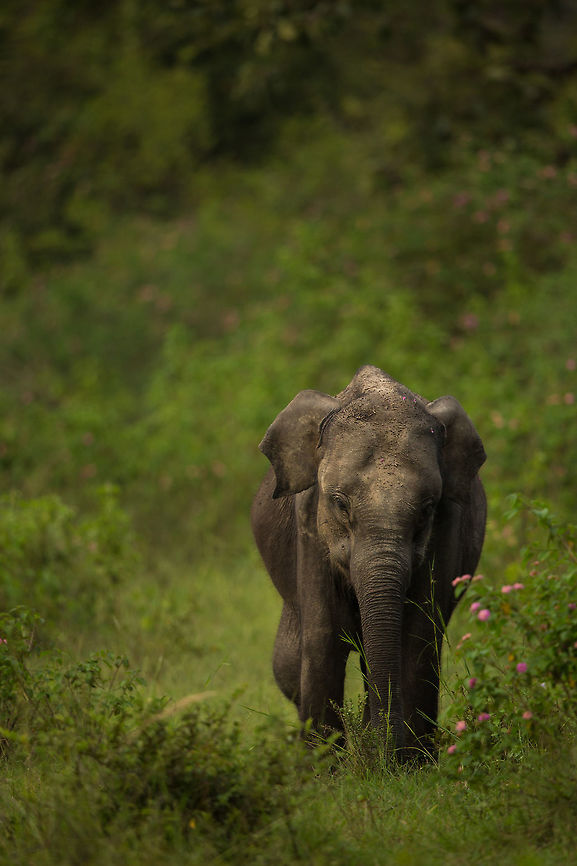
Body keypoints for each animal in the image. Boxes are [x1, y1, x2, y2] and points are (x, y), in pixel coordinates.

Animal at [251, 365, 487, 759]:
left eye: (427, 509)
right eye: (340, 503)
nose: (382, 750)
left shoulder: (447, 528)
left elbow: (418, 639)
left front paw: (406, 763)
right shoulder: (308, 526)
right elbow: (323, 641)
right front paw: (326, 768)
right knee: (288, 667)